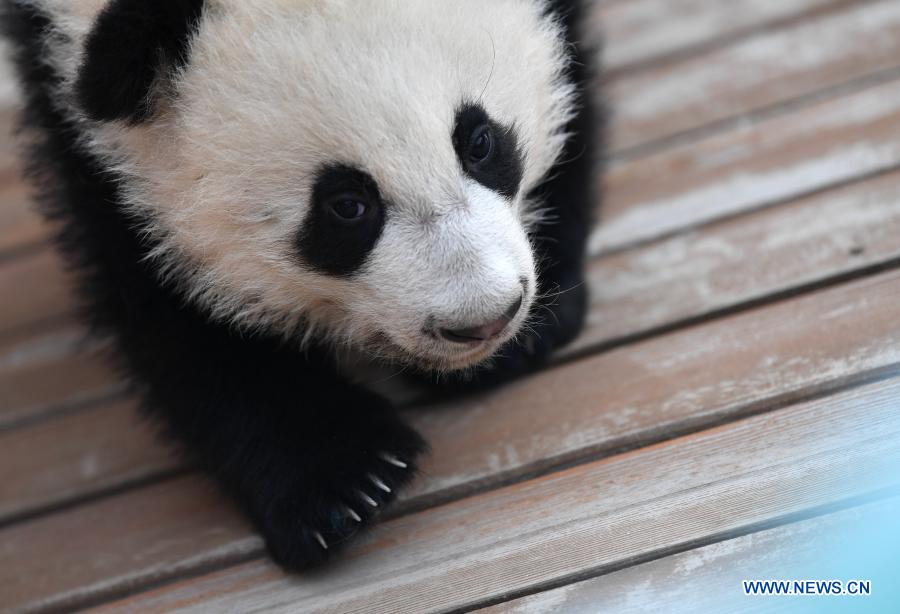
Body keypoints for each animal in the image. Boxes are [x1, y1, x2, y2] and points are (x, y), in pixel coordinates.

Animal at [2, 0, 600, 568]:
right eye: (347, 206)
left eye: (479, 142)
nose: (485, 320)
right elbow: (160, 290)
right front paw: (343, 481)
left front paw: (537, 318)